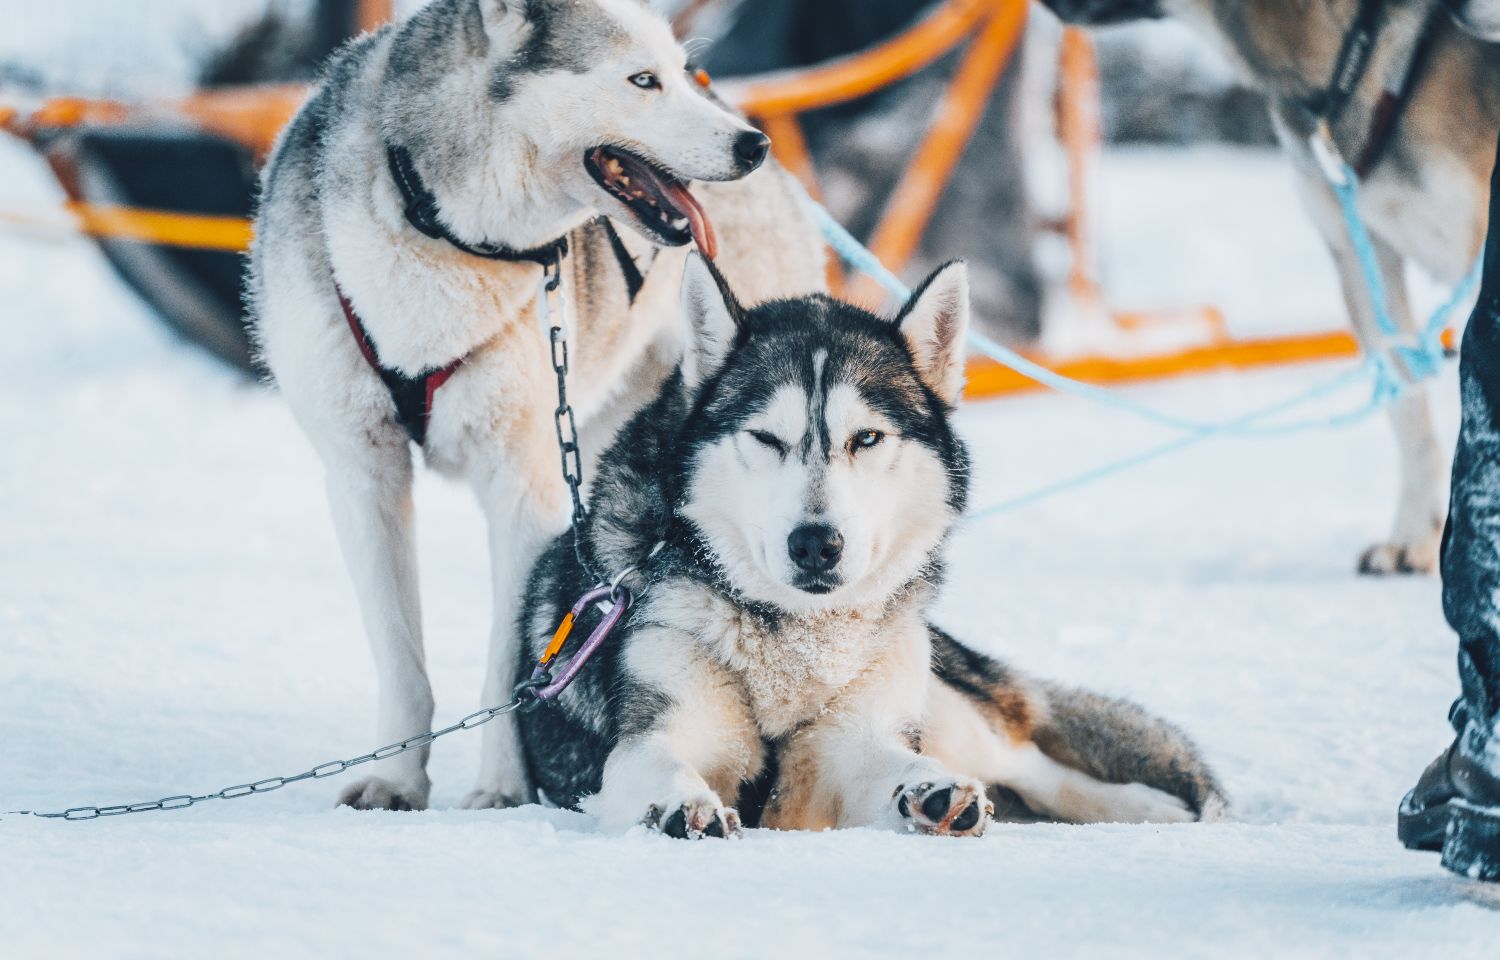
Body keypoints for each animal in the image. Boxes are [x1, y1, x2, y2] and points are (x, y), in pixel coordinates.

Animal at [252, 0, 828, 810]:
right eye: (643, 80)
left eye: (678, 73)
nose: (753, 146)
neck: (442, 228)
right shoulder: (363, 473)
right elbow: (401, 657)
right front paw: (396, 779)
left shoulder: (523, 486)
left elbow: (511, 659)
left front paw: (503, 788)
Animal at [513, 256, 1218, 840]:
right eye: (767, 438)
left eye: (868, 438)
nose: (816, 544)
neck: (796, 635)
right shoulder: (658, 728)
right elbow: (657, 762)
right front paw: (679, 803)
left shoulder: (845, 746)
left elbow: (889, 762)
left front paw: (930, 791)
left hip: (941, 702)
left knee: (1029, 764)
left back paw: (1144, 807)